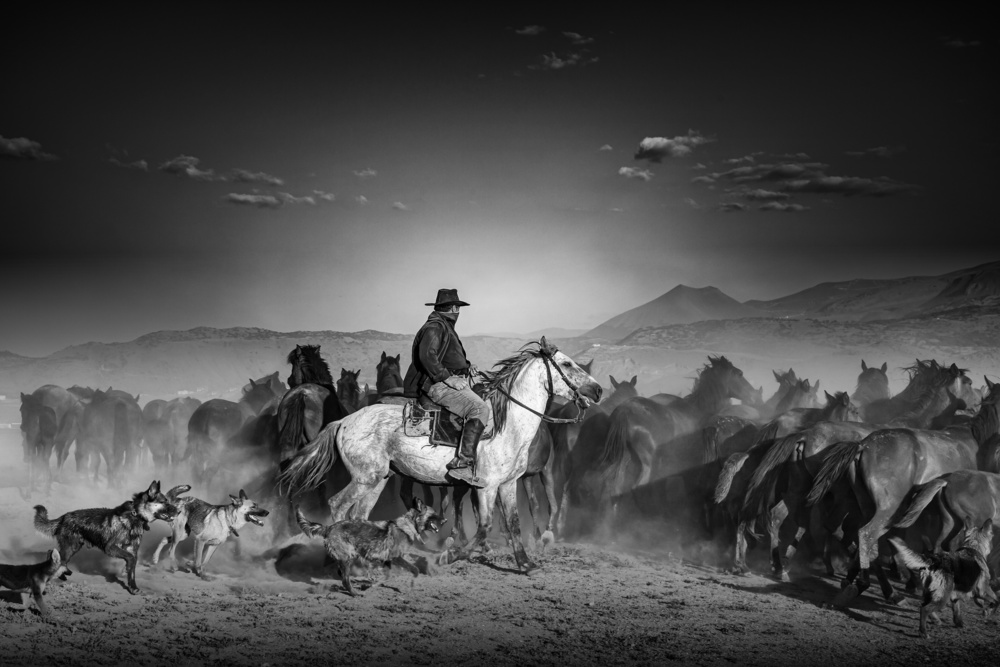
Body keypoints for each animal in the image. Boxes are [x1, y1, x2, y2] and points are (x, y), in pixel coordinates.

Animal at [34, 480, 180, 596]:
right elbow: (130, 559)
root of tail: (63, 517)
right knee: (56, 557)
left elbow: (132, 570)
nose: (179, 511)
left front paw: (133, 587)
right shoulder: (111, 548)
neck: (135, 515)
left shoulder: (132, 550)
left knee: (54, 554)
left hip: (73, 547)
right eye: (164, 502)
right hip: (70, 547)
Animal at [278, 340, 596, 576]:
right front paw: (450, 556)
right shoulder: (487, 486)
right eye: (567, 364)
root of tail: (344, 422)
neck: (507, 424)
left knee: (359, 514)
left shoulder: (508, 485)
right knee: (338, 505)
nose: (597, 389)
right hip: (364, 477)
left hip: (378, 478)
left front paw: (526, 564)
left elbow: (515, 523)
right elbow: (484, 527)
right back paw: (339, 559)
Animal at [296, 498, 446, 596]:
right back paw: (355, 593)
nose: (445, 520)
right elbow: (415, 570)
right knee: (345, 580)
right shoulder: (396, 557)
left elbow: (387, 577)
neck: (408, 525)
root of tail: (328, 528)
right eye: (434, 513)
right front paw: (411, 585)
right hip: (347, 559)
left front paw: (370, 585)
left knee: (341, 575)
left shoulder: (387, 560)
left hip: (347, 558)